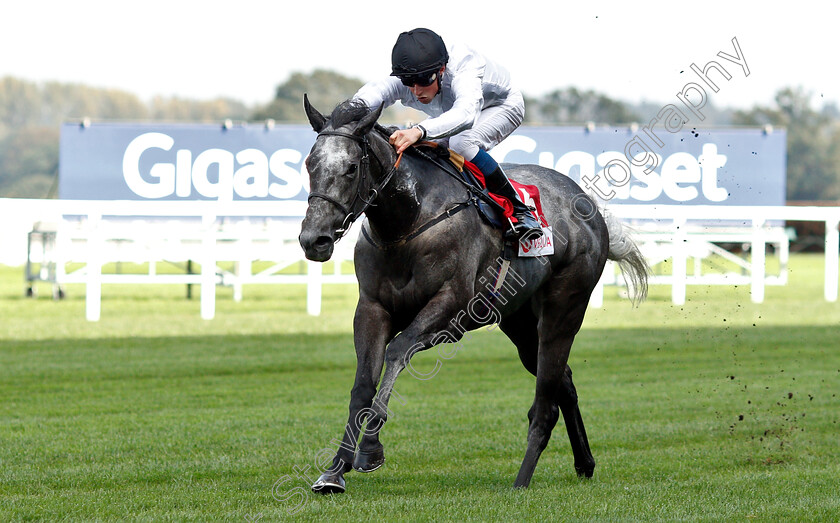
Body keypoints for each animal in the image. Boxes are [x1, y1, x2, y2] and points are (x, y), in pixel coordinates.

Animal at [298, 95, 648, 496]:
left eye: (352, 167)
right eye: (309, 164)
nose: (313, 240)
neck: (409, 221)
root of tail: (587, 204)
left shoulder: (452, 305)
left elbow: (398, 350)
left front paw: (370, 448)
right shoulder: (372, 308)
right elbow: (362, 385)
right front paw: (334, 471)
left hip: (564, 310)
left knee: (545, 403)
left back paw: (522, 481)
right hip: (520, 324)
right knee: (565, 384)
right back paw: (584, 463)